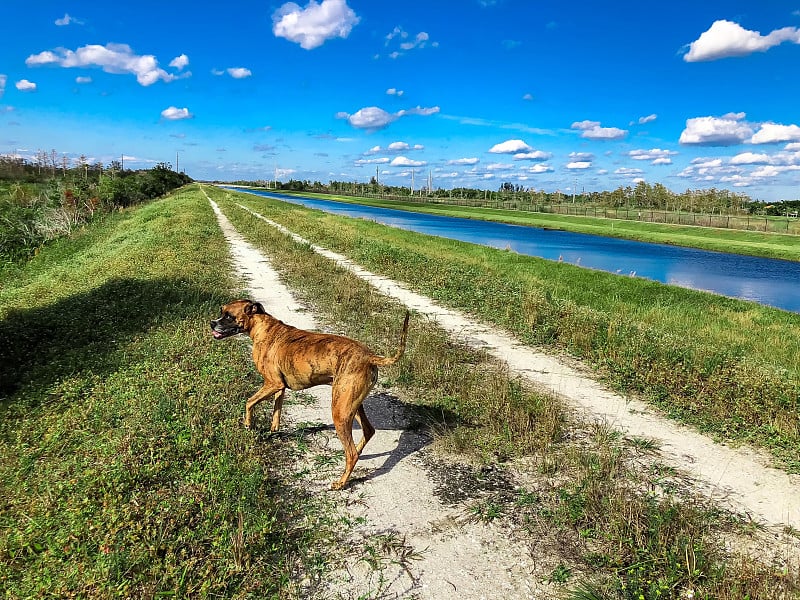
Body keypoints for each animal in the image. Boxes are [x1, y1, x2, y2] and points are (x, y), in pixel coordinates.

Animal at [209, 302, 410, 490]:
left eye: (228, 316)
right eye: (222, 311)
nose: (212, 323)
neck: (262, 327)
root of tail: (369, 356)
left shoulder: (272, 384)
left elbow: (249, 402)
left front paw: (248, 424)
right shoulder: (279, 388)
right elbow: (276, 412)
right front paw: (273, 431)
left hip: (340, 411)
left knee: (351, 453)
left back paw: (341, 482)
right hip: (351, 406)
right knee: (367, 432)